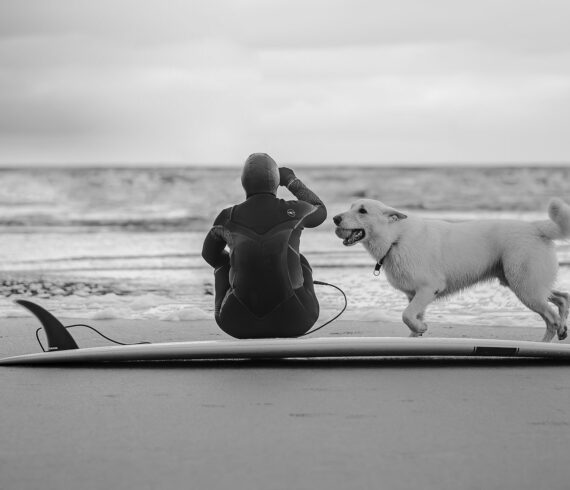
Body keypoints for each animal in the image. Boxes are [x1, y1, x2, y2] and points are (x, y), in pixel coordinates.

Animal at [332, 198, 568, 340]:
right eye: (351, 207)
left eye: (362, 211)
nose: (334, 218)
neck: (395, 239)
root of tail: (535, 227)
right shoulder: (415, 295)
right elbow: (412, 317)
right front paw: (416, 336)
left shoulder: (428, 289)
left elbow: (406, 316)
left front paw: (420, 329)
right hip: (523, 284)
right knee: (561, 299)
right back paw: (559, 332)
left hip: (525, 287)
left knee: (551, 318)